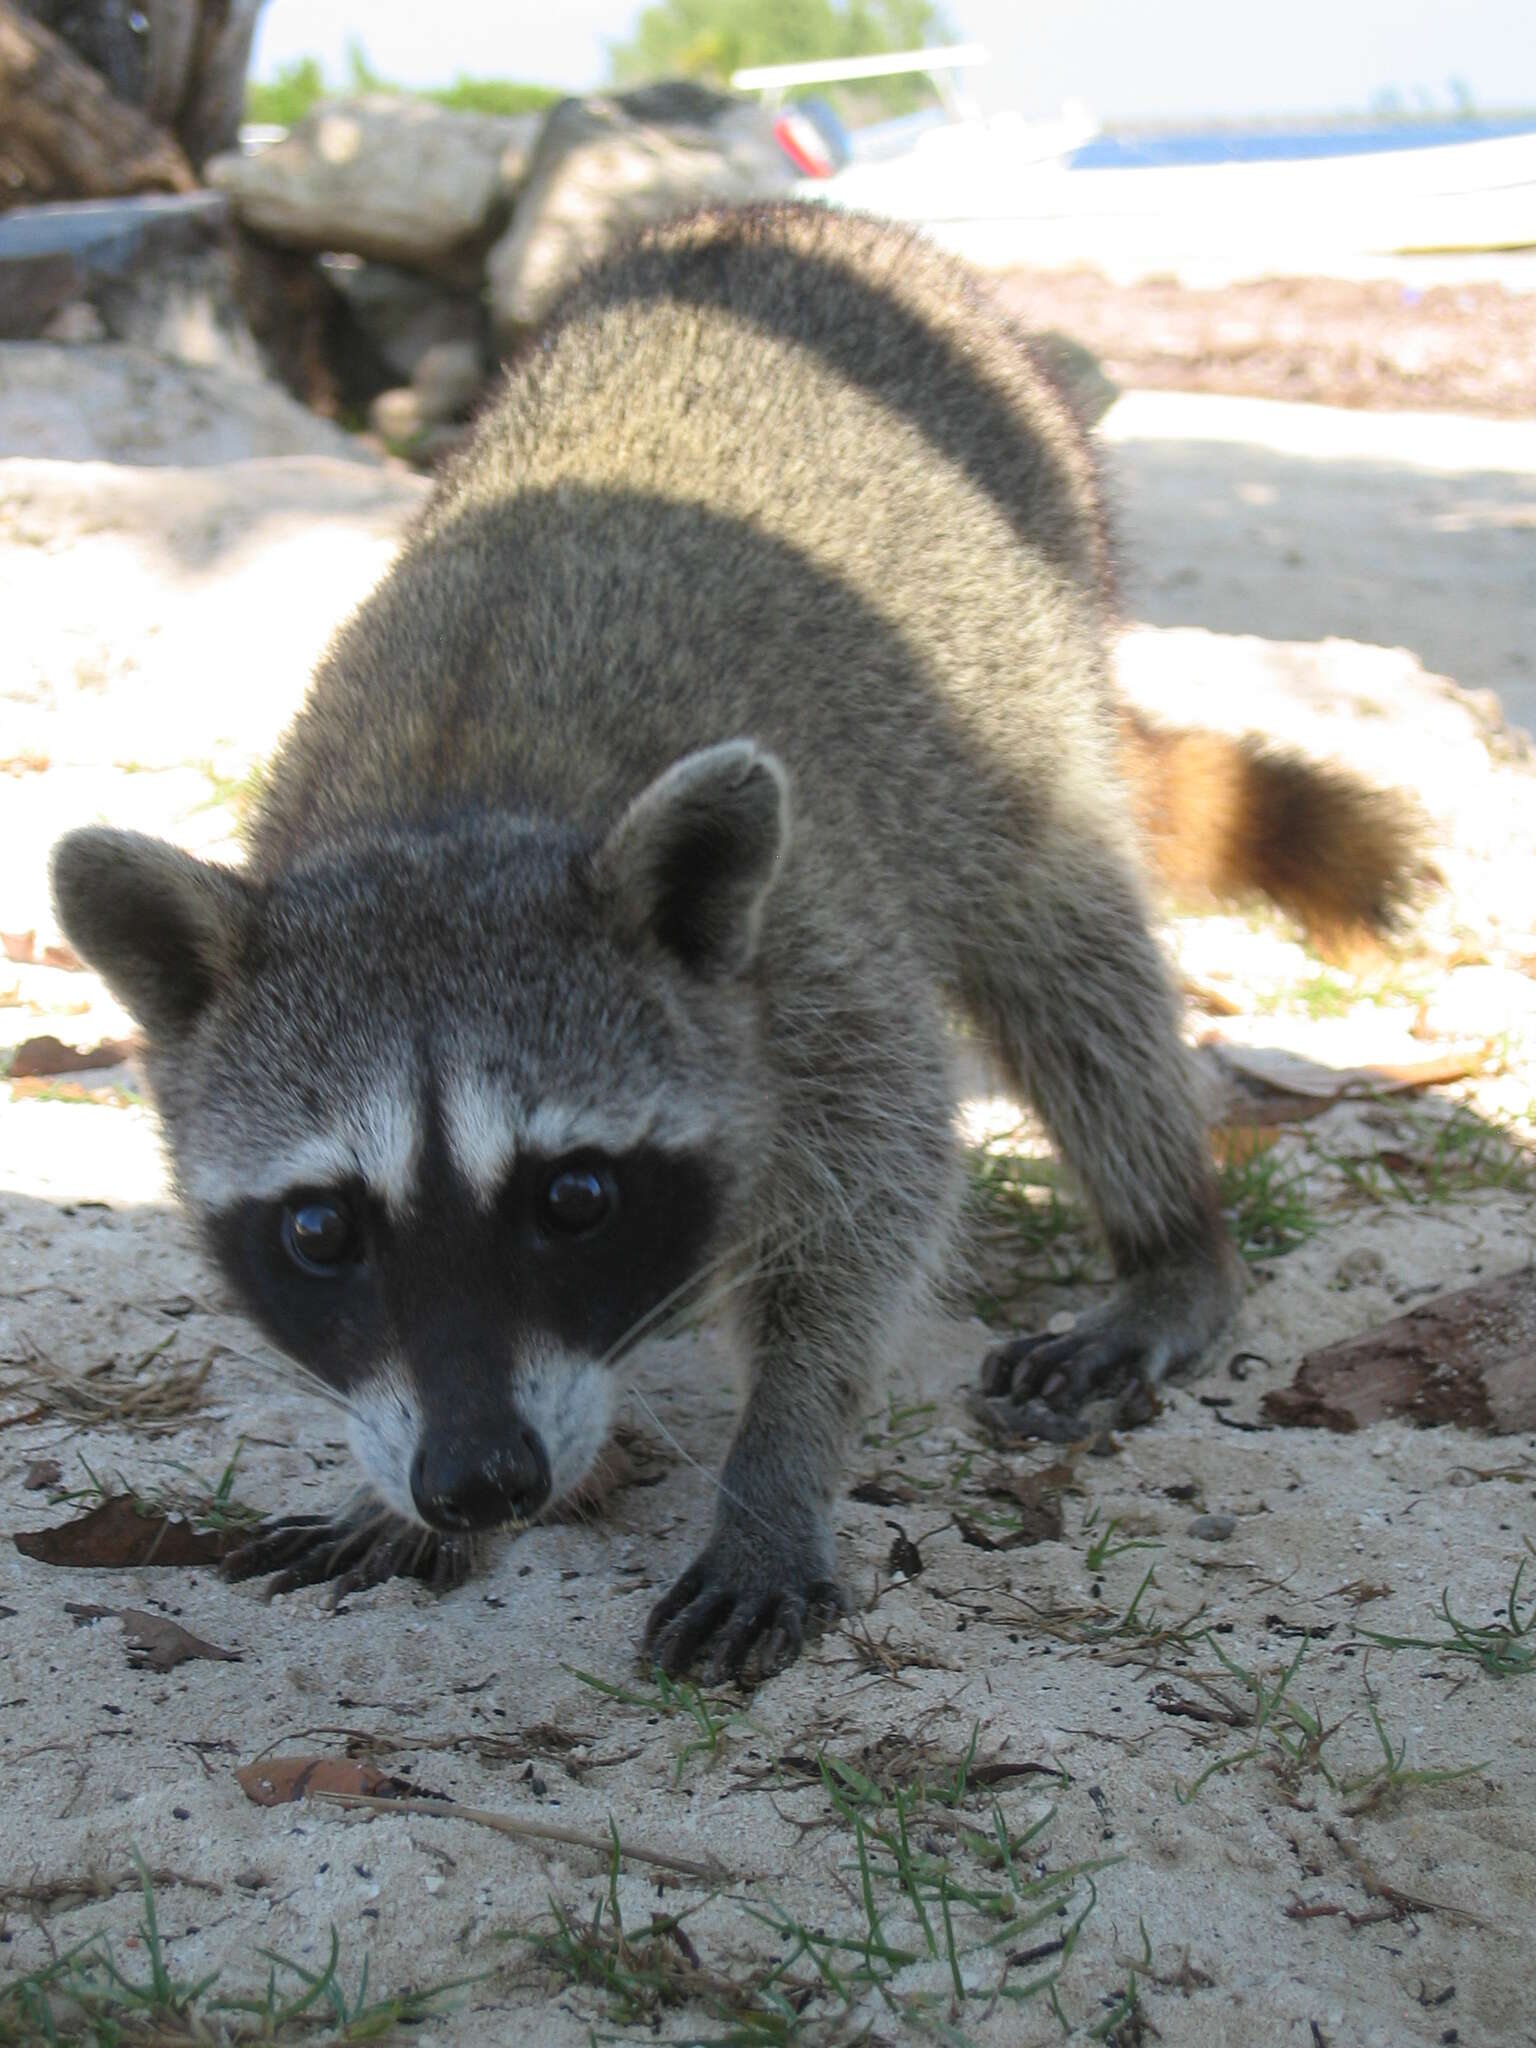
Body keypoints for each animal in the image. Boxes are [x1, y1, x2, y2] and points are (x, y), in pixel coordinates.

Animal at [51, 207, 1417, 1679]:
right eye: (318, 1229)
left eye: (575, 1197)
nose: (477, 1482)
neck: (447, 806)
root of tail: (777, 218)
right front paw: (406, 1499)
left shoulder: (805, 948)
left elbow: (871, 1193)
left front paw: (777, 1464)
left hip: (1028, 646)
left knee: (1070, 957)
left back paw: (1170, 1240)